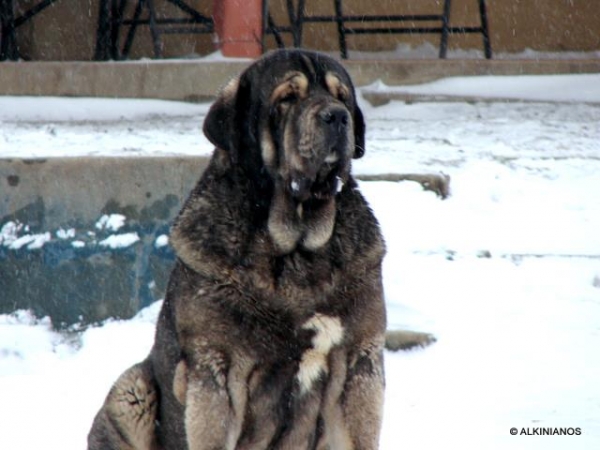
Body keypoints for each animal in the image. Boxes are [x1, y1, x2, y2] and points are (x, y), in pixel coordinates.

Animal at [89, 49, 390, 450]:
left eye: (341, 96)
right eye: (287, 99)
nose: (337, 116)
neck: (296, 249)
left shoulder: (359, 360)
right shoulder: (217, 372)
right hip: (129, 391)